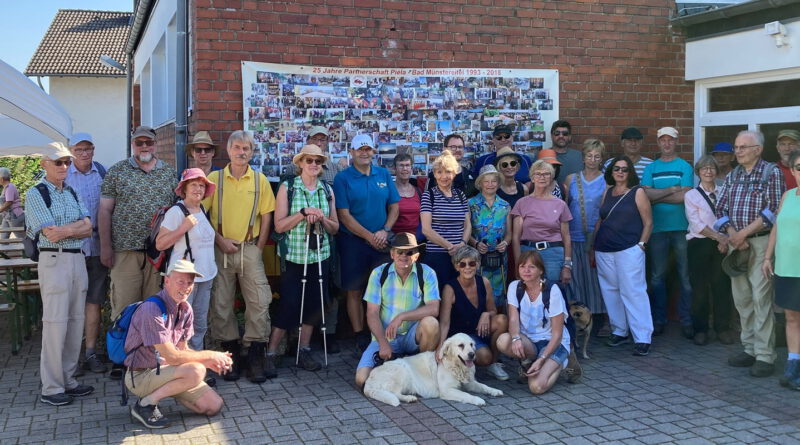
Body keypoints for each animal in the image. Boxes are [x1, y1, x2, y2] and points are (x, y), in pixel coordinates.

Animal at [364, 330, 504, 406]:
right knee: (394, 393)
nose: (472, 354)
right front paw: (477, 399)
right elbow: (466, 395)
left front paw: (495, 391)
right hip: (402, 371)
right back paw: (409, 398)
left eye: (471, 344)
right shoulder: (447, 390)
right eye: (461, 345)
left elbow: (484, 386)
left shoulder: (470, 383)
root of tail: (368, 380)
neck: (456, 367)